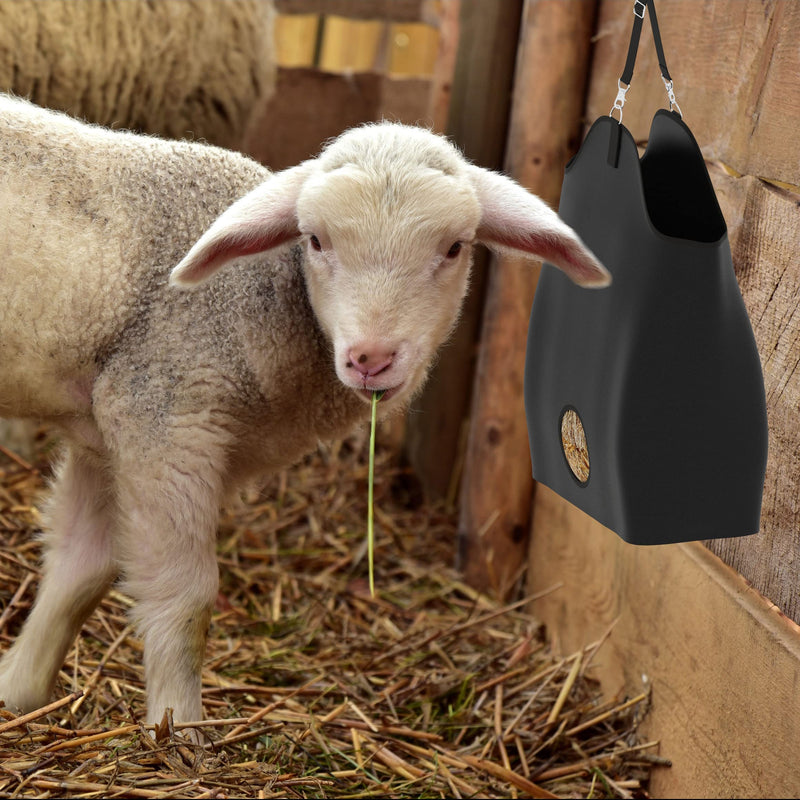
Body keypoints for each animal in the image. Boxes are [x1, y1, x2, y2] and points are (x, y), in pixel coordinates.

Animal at [0, 93, 610, 727]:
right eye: (316, 241)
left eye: (454, 248)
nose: (372, 358)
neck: (261, 295)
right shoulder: (165, 415)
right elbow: (182, 598)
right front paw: (179, 729)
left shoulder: (107, 423)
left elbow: (80, 567)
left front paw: (19, 693)